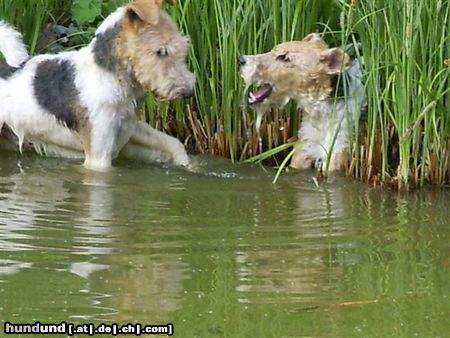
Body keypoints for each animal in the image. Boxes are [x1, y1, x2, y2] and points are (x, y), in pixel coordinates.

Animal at [0, 0, 194, 169]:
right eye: (161, 51)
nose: (188, 93)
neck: (109, 75)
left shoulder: (128, 129)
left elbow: (174, 144)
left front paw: (186, 166)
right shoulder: (98, 152)